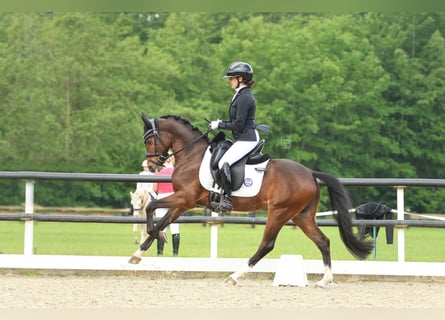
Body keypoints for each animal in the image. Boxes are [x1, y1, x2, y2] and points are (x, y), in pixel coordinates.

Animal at [126, 114, 372, 286]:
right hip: (302, 216)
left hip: (279, 212)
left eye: (149, 141)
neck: (192, 155)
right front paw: (138, 254)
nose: (151, 166)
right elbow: (162, 220)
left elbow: (151, 207)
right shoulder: (183, 202)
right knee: (323, 241)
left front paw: (158, 238)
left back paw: (235, 276)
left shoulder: (185, 198)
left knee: (267, 245)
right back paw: (325, 279)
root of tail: (310, 174)